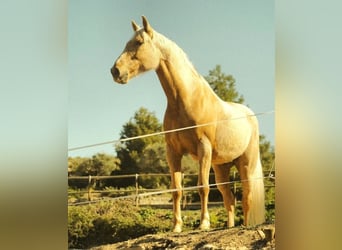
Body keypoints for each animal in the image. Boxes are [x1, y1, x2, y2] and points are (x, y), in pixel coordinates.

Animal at [111, 16, 266, 233]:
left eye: (139, 42)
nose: (115, 71)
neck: (185, 100)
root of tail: (250, 115)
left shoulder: (203, 148)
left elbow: (202, 187)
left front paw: (204, 224)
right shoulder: (173, 151)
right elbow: (177, 189)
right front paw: (176, 227)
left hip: (246, 165)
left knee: (247, 197)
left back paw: (244, 226)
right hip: (221, 167)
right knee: (229, 198)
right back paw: (229, 226)